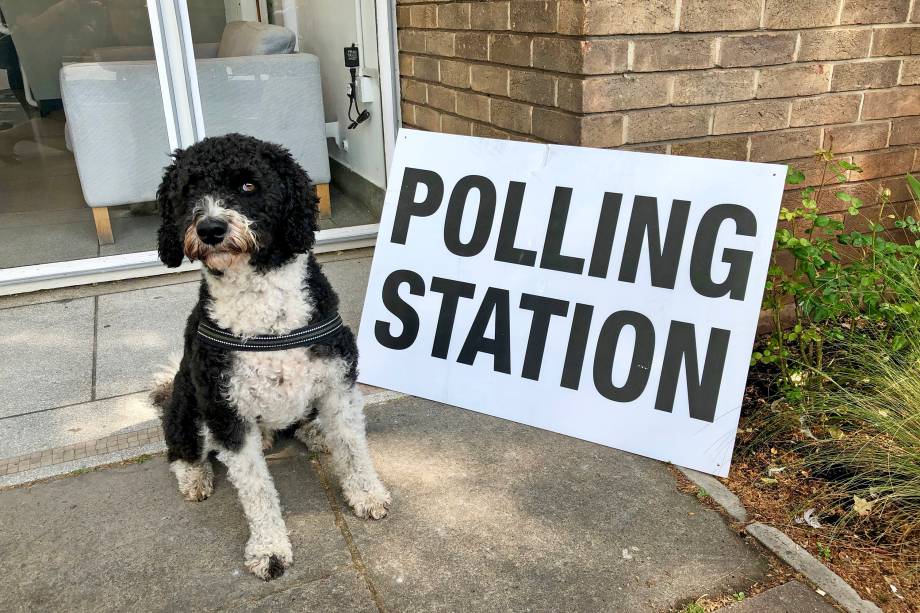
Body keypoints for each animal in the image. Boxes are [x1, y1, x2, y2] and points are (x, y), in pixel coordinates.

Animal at [151, 133, 388, 580]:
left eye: (248, 185)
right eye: (189, 189)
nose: (210, 228)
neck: (265, 315)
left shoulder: (338, 384)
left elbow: (353, 448)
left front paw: (367, 494)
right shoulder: (225, 412)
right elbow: (257, 490)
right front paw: (269, 548)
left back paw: (314, 433)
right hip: (189, 405)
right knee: (180, 448)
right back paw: (194, 476)